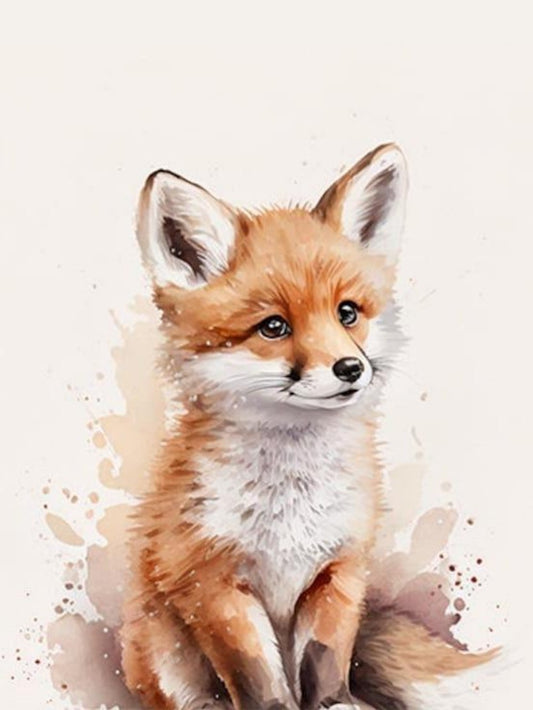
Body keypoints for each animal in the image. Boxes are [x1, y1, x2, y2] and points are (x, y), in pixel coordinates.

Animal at [120, 144, 496, 710]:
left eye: (347, 313)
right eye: (274, 327)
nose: (351, 368)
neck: (290, 500)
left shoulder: (338, 571)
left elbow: (325, 661)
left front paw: (335, 703)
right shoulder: (213, 582)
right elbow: (258, 677)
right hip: (157, 644)